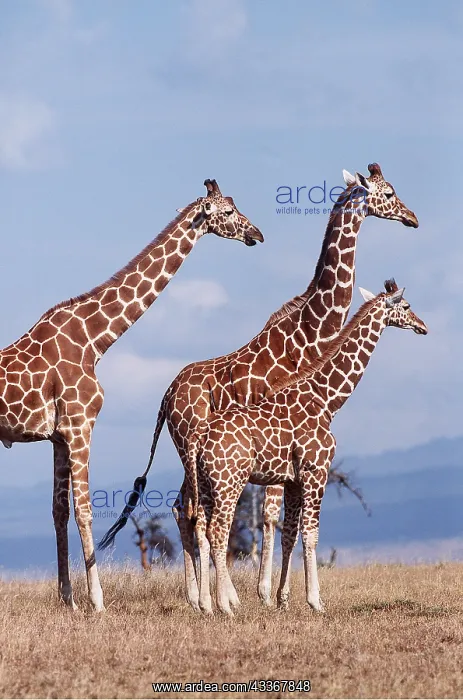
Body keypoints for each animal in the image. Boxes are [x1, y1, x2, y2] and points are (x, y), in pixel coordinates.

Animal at [0, 178, 263, 612]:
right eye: (226, 212)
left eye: (235, 205)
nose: (256, 234)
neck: (95, 340)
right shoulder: (79, 426)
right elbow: (84, 511)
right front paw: (97, 601)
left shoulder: (57, 437)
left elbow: (58, 511)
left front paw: (68, 599)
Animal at [187, 280, 428, 615]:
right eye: (406, 306)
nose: (423, 326)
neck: (327, 400)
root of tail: (199, 436)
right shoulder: (317, 471)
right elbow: (311, 534)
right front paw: (316, 601)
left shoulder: (293, 479)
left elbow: (290, 533)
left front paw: (282, 600)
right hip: (229, 481)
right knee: (218, 530)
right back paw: (226, 606)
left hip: (206, 482)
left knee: (201, 527)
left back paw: (207, 605)